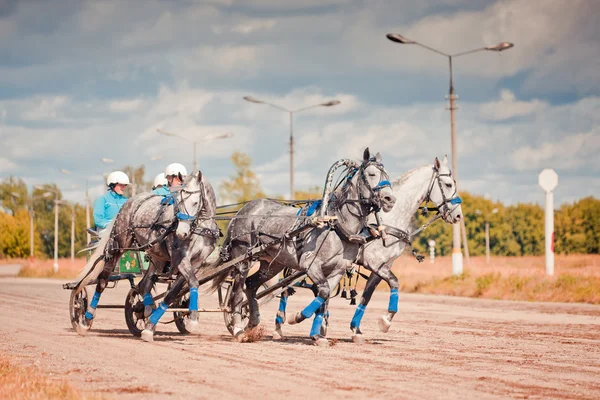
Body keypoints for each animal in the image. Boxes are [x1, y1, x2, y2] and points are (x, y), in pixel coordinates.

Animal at [72, 170, 218, 342]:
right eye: (178, 202)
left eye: (195, 203)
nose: (181, 233)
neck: (200, 230)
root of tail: (128, 202)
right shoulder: (180, 259)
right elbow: (193, 283)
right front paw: (193, 320)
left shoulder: (196, 263)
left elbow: (173, 293)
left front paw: (150, 327)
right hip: (117, 247)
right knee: (102, 281)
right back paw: (86, 319)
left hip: (157, 257)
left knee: (144, 284)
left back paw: (147, 309)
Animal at [213, 148, 396, 346]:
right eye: (371, 174)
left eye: (387, 175)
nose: (390, 199)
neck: (336, 226)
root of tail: (241, 212)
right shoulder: (311, 264)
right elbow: (323, 292)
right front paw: (298, 317)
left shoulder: (337, 270)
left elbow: (324, 296)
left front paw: (318, 335)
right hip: (242, 258)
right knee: (237, 292)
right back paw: (238, 328)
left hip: (272, 264)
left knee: (251, 285)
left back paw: (252, 322)